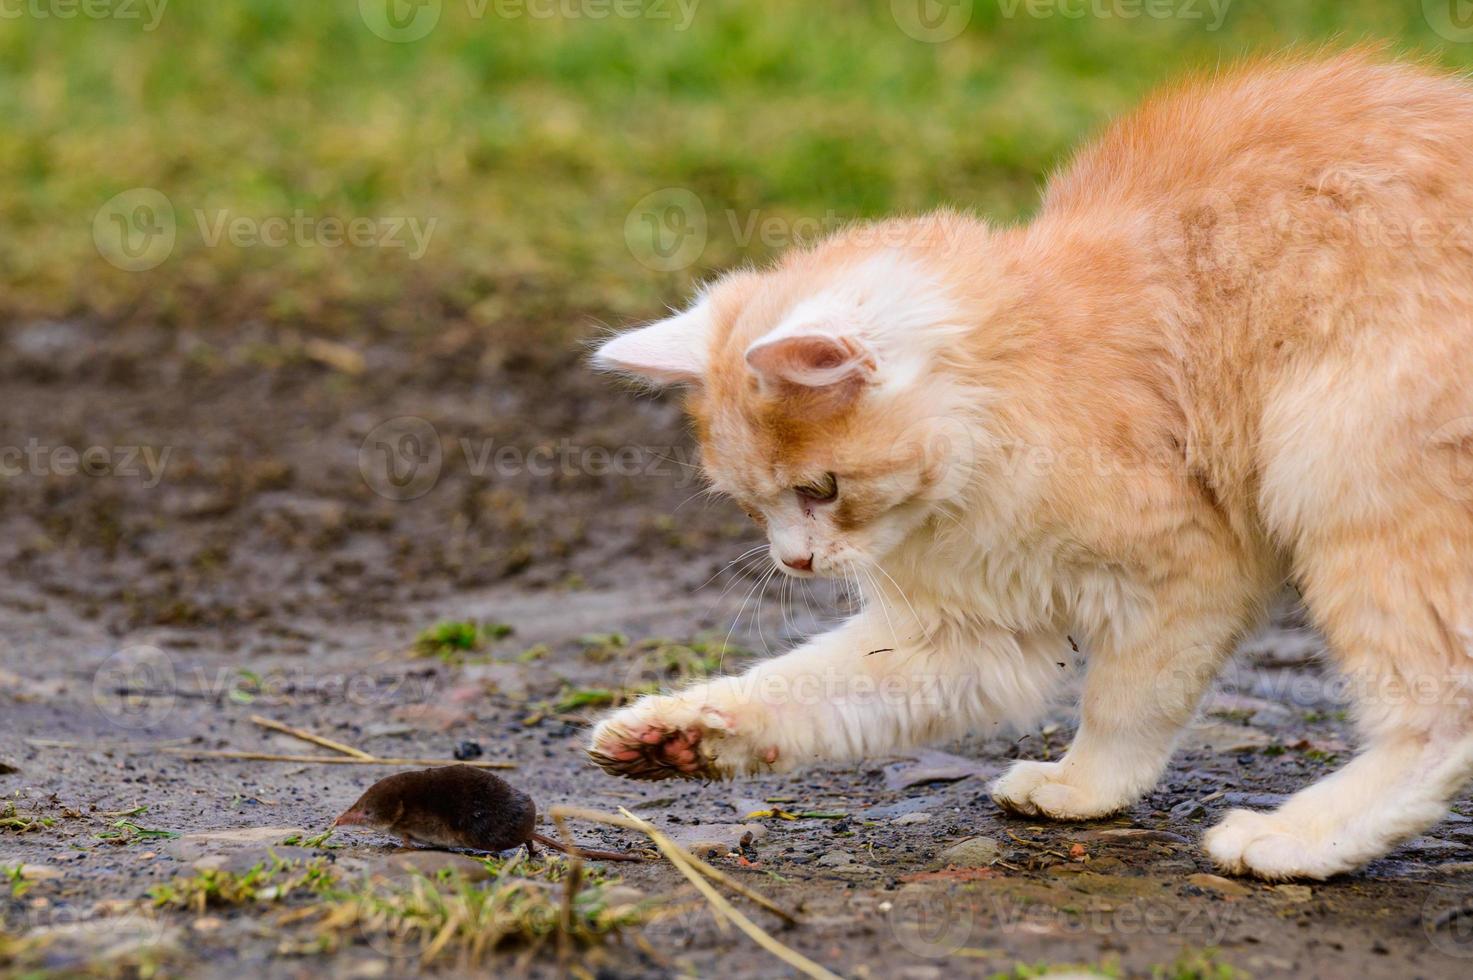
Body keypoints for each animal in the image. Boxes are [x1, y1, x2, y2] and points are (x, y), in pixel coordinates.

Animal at [583, 53, 1473, 878]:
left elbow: (1124, 706)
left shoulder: (1190, 572)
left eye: (820, 489)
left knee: (1439, 711)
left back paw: (1298, 839)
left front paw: (1083, 787)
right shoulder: (965, 631)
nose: (793, 562)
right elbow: (805, 688)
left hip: (1341, 473)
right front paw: (677, 735)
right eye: (750, 505)